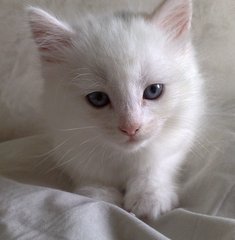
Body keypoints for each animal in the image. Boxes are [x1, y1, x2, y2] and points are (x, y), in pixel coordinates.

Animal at [27, 0, 204, 219]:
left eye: (153, 90)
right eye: (98, 98)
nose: (131, 127)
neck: (122, 156)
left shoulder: (176, 140)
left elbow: (154, 167)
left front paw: (149, 197)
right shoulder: (68, 145)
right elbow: (92, 174)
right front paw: (101, 195)